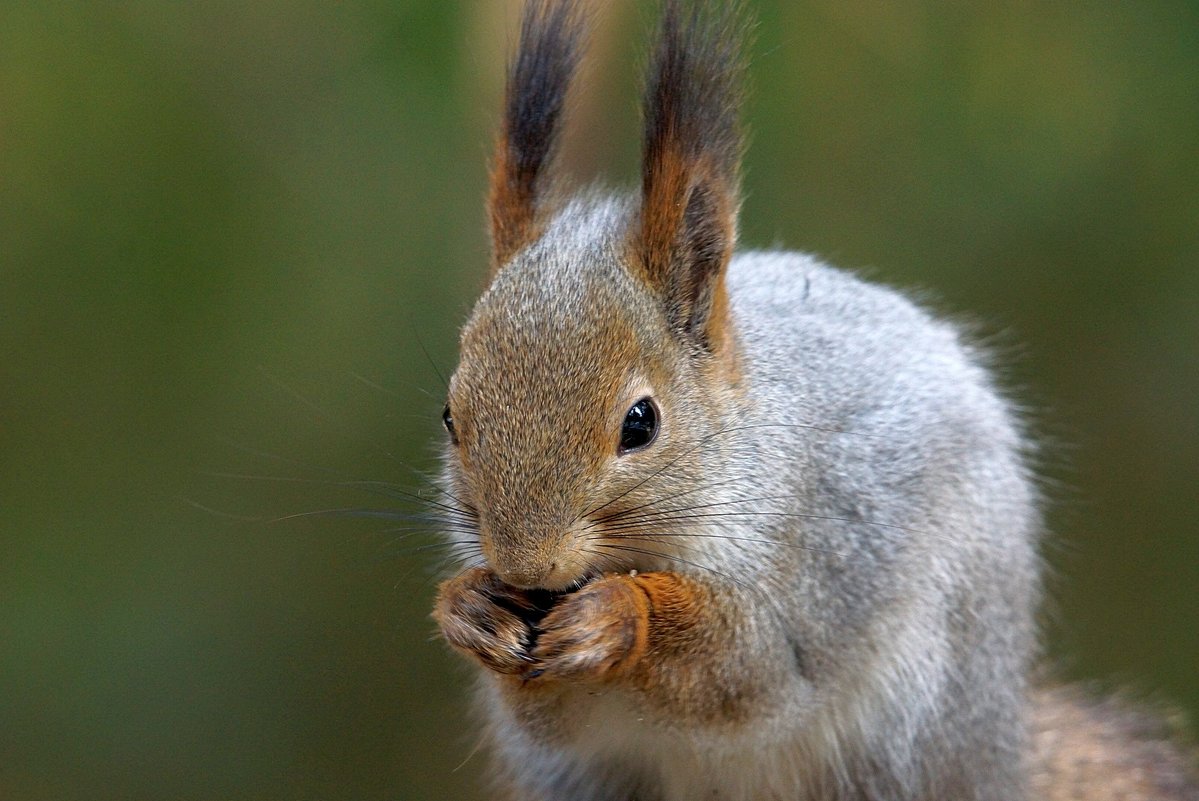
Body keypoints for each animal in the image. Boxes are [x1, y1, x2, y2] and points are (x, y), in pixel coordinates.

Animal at [431, 1, 1199, 801]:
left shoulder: (810, 559)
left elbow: (741, 665)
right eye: (450, 417)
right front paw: (469, 608)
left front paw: (617, 614)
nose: (527, 567)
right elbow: (545, 712)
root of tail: (1001, 760)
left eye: (640, 423)